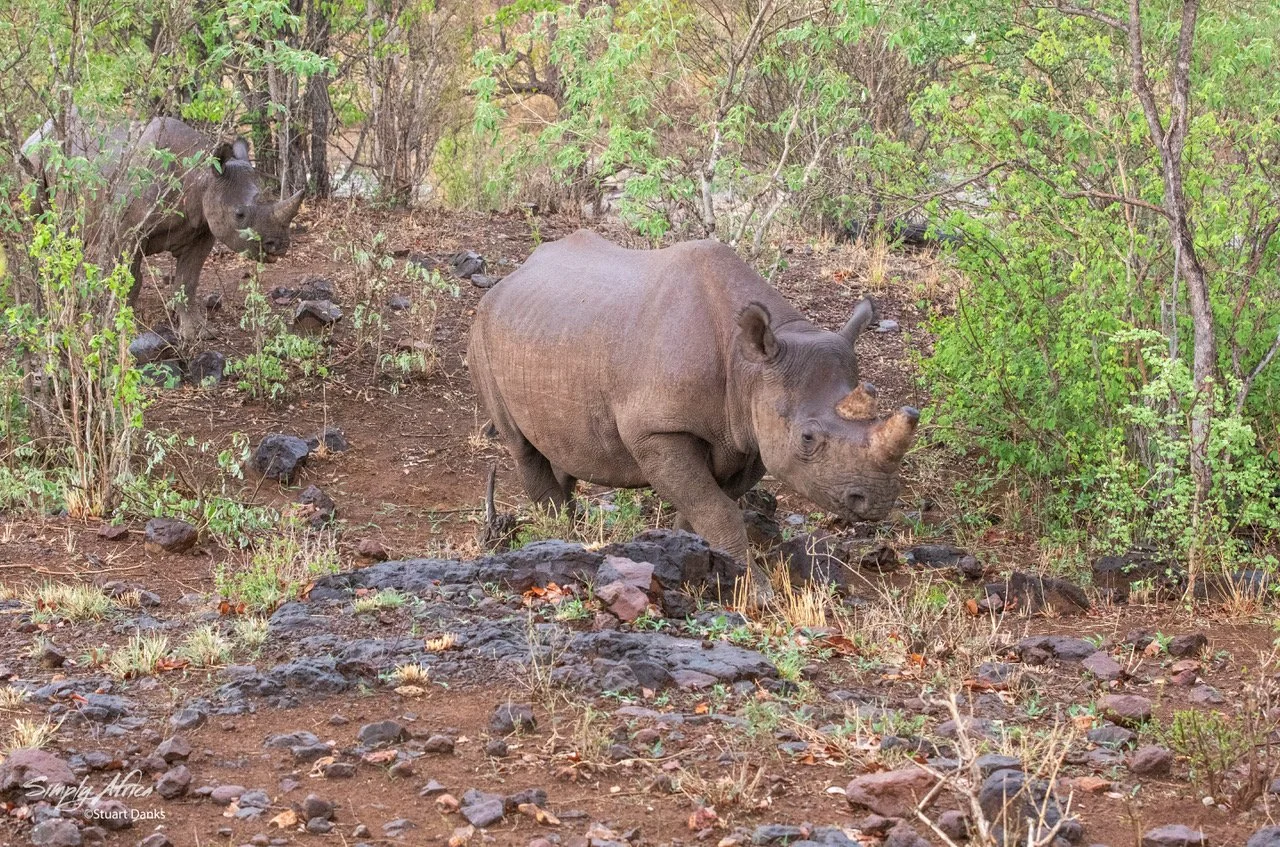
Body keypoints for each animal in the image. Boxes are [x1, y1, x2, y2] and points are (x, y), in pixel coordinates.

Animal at [23, 115, 302, 339]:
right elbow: (130, 280)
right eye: (240, 215)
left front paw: (197, 333)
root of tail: (36, 131)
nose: (279, 245)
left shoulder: (203, 229)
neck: (201, 178)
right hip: (33, 159)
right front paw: (123, 327)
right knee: (41, 225)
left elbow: (187, 281)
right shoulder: (127, 232)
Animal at [468, 230, 920, 596]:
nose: (878, 499)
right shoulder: (657, 431)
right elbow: (717, 509)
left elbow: (706, 506)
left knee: (561, 442)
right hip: (483, 328)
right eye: (808, 438)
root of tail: (511, 277)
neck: (751, 366)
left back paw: (570, 527)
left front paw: (688, 554)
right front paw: (756, 593)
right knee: (521, 445)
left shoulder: (748, 436)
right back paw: (560, 534)